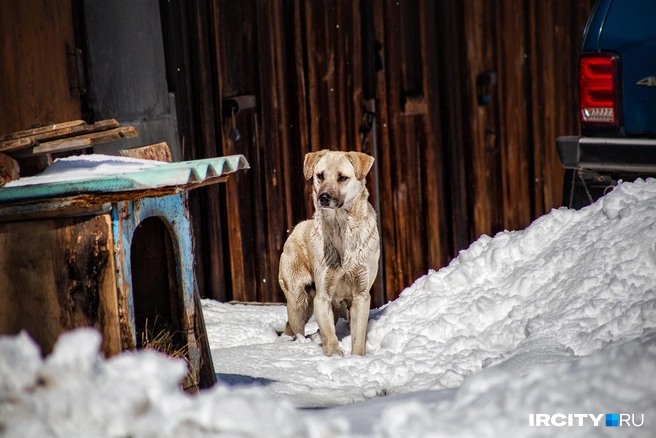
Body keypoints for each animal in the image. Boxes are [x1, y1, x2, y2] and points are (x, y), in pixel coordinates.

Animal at [276, 150, 380, 356]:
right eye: (320, 175)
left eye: (342, 177)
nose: (323, 197)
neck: (342, 229)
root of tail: (296, 228)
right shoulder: (322, 295)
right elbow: (329, 335)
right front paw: (335, 356)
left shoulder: (361, 295)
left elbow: (358, 337)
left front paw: (356, 359)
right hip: (297, 299)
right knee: (297, 328)